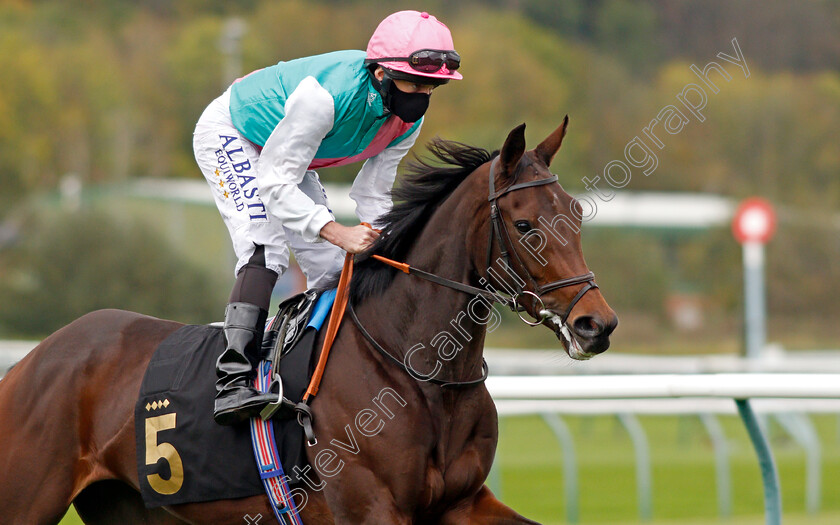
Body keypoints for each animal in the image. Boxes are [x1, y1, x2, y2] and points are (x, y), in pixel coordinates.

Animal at [0, 116, 616, 520]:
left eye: (576, 214)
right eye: (526, 225)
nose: (598, 324)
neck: (418, 372)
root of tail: (30, 361)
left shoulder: (463, 503)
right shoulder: (370, 507)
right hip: (28, 494)